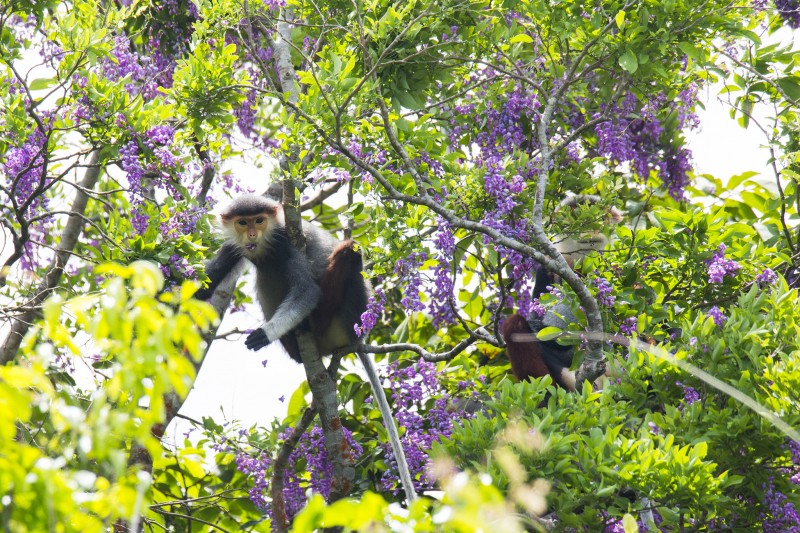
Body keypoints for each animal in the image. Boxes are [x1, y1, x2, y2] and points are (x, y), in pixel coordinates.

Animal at [196, 193, 416, 500]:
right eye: (243, 222)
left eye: (259, 221)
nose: (252, 234)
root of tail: (355, 340)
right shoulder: (232, 247)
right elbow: (202, 287)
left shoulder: (284, 243)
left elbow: (307, 290)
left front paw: (265, 333)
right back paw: (295, 347)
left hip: (350, 315)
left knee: (348, 251)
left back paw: (311, 324)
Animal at [500, 193, 624, 388]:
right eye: (577, 217)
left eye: (600, 217)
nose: (590, 229)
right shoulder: (545, 269)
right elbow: (537, 323)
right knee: (514, 325)